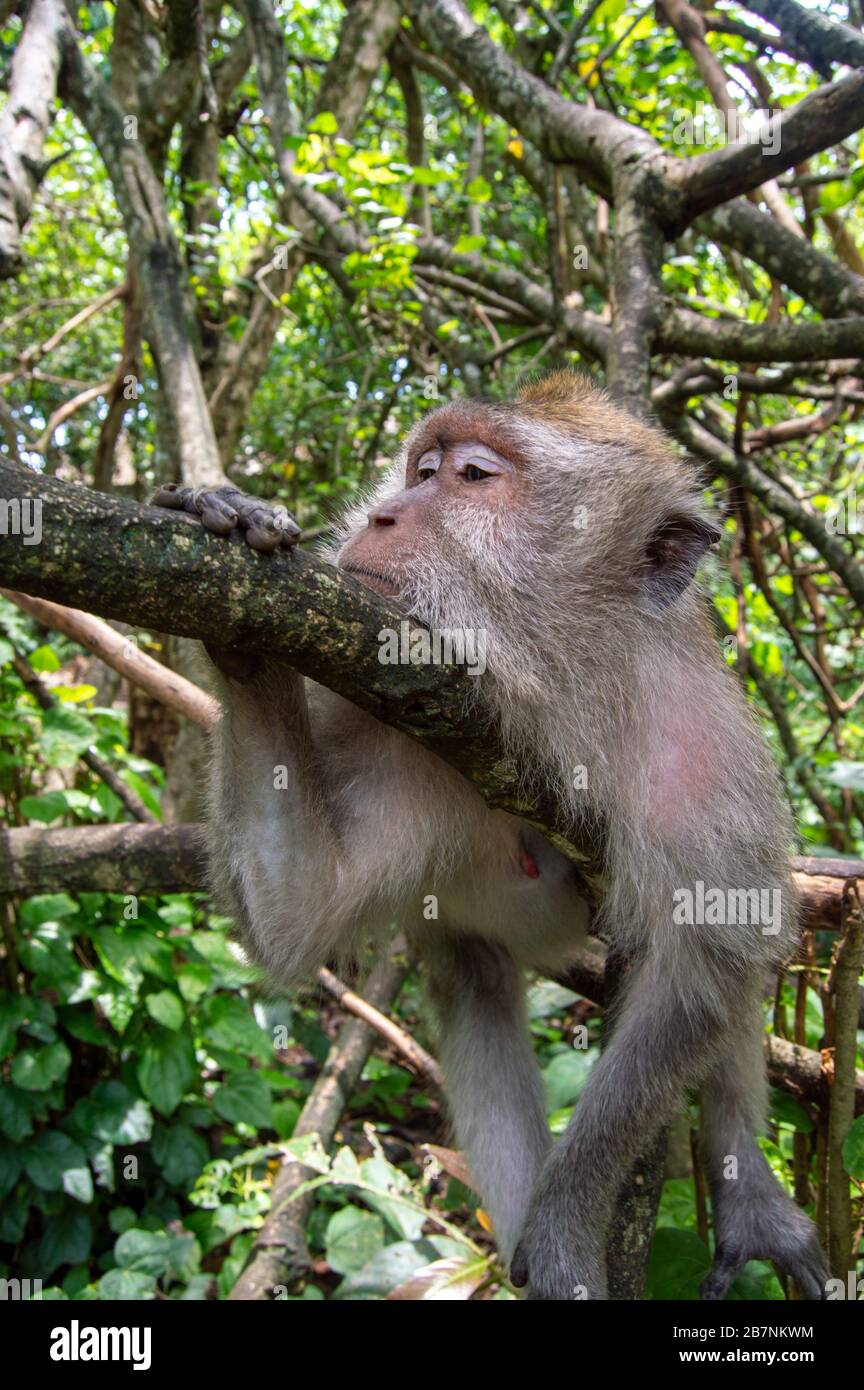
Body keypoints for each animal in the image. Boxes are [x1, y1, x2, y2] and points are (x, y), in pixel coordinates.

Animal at [152, 372, 827, 1301]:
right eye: (422, 469)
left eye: (471, 476)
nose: (381, 515)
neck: (551, 696)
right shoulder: (403, 730)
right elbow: (302, 912)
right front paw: (237, 600)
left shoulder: (702, 759)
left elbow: (697, 972)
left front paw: (565, 1221)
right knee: (475, 981)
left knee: (731, 971)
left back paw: (745, 1185)